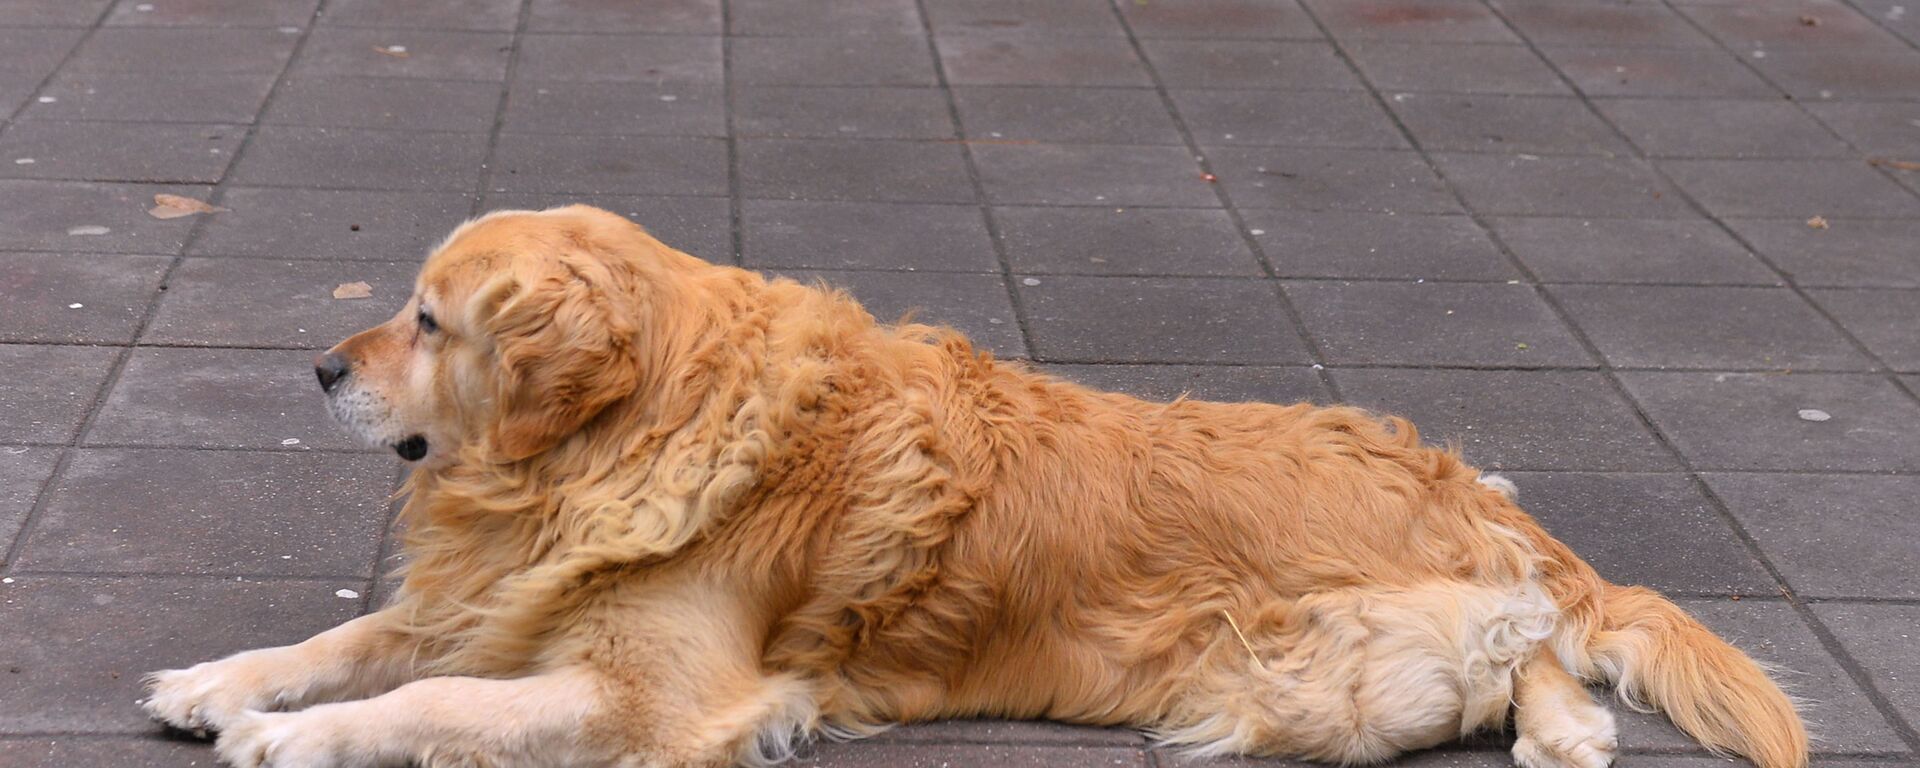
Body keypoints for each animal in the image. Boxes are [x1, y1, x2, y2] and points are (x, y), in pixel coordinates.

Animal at [142, 205, 1804, 768]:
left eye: (430, 320)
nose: (317, 367)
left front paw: (294, 740)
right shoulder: (495, 591)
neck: (629, 440)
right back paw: (1570, 725)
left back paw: (1560, 723)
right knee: (1532, 644)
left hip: (1293, 675)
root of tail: (1467, 487)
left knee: (1509, 646)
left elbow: (428, 698)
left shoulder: (661, 696)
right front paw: (218, 681)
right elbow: (350, 638)